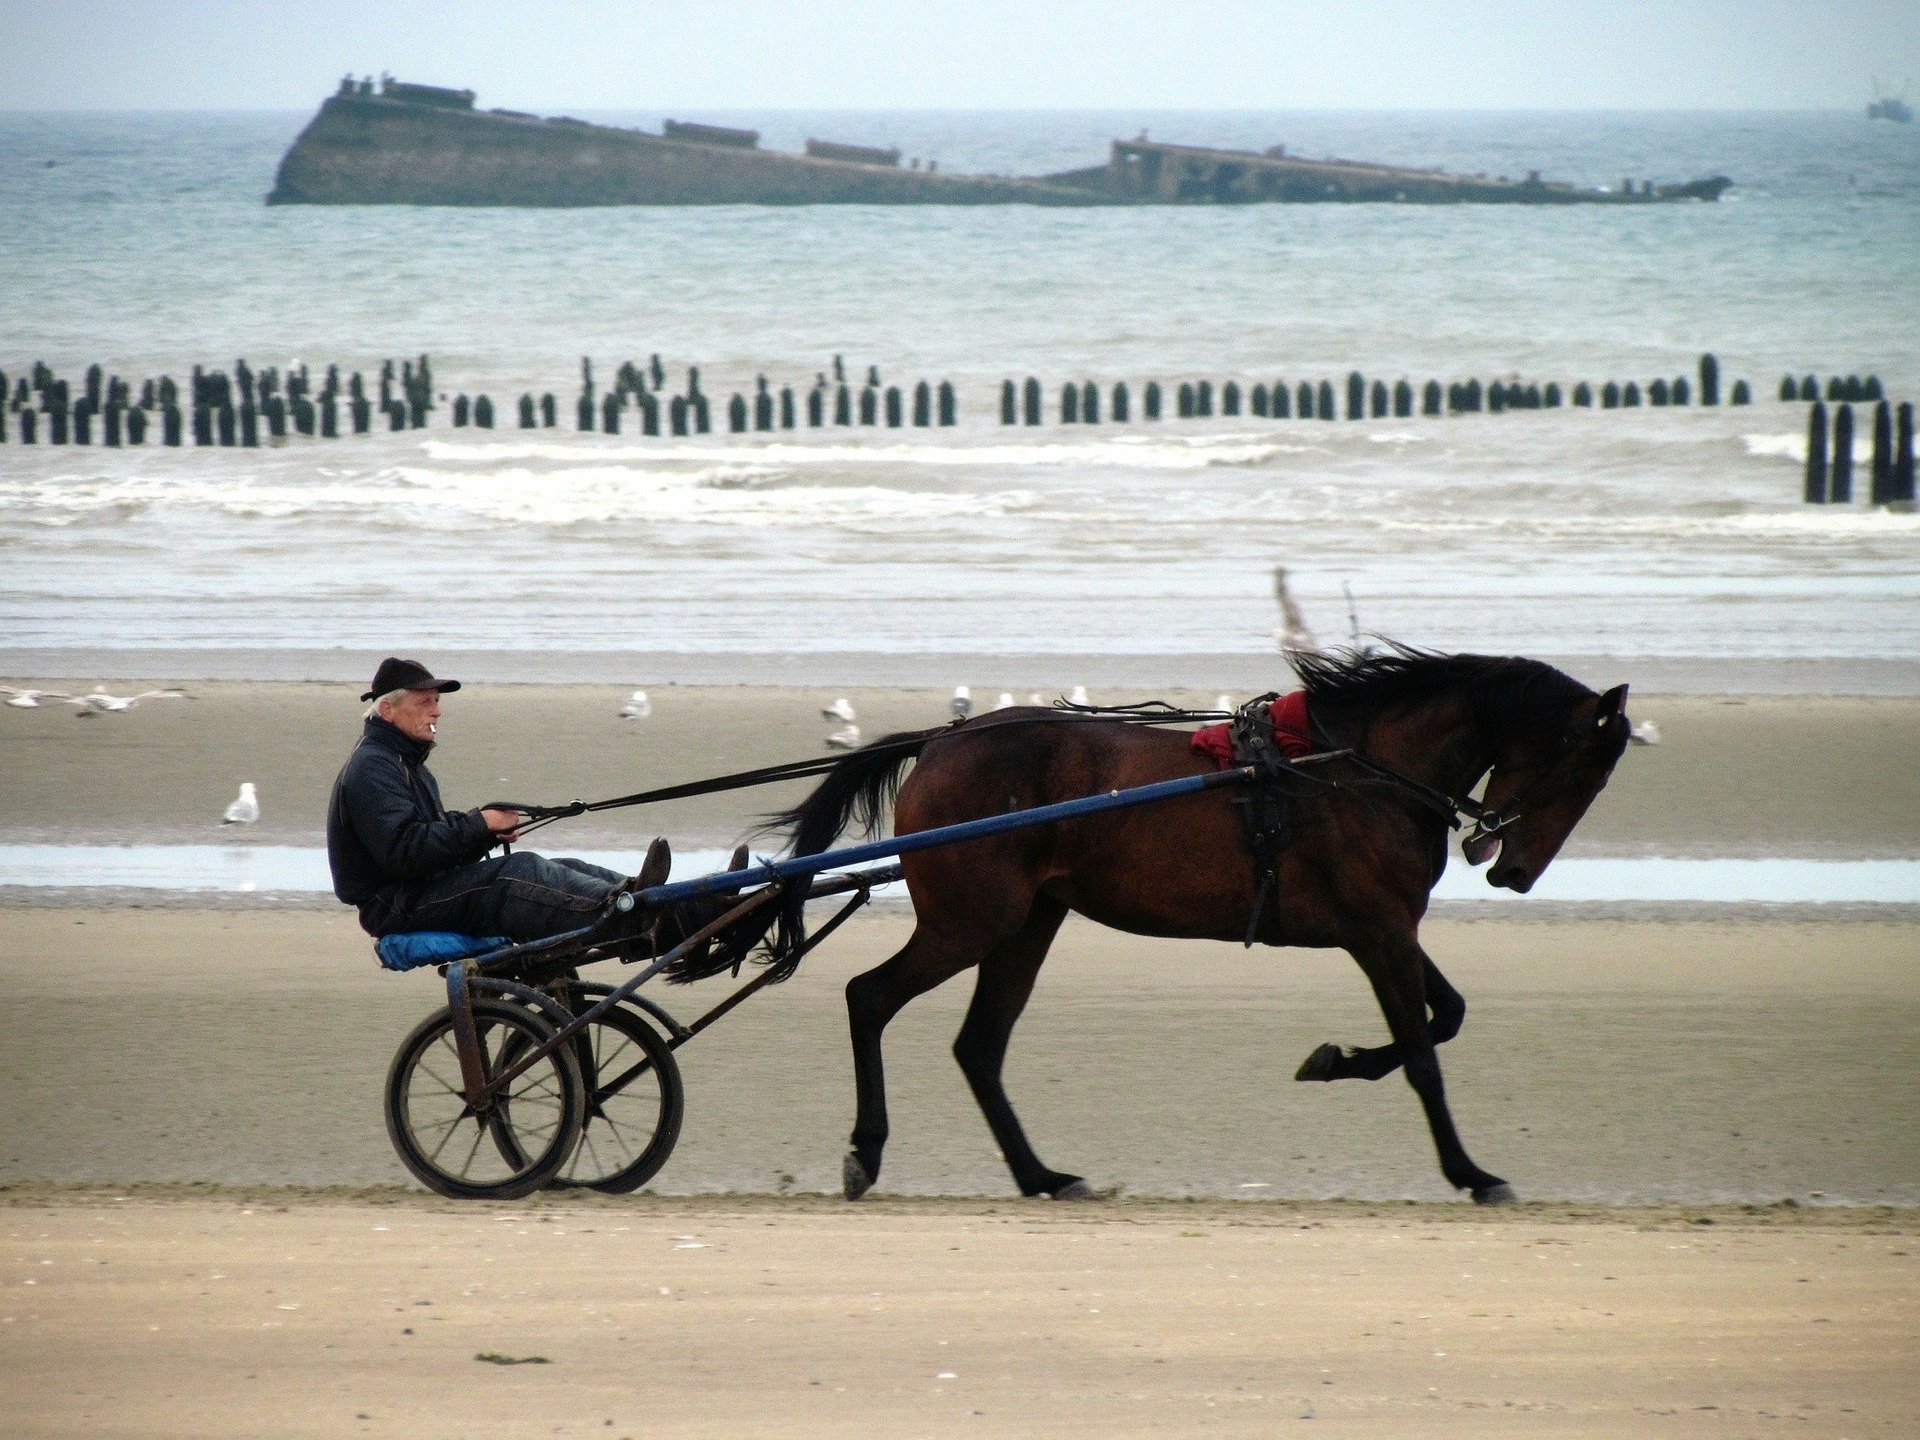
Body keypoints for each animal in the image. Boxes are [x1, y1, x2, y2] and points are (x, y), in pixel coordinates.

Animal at [729, 652, 1620, 1205]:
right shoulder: (1378, 933)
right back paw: (868, 1148)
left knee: (979, 1046)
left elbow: (1446, 1016)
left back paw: (1042, 1176)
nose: (1515, 872)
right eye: (1583, 766)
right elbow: (1427, 1057)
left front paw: (1336, 1060)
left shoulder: (1388, 930)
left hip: (1028, 922)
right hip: (971, 921)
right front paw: (1471, 1172)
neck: (1349, 771)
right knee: (869, 997)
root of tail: (943, 741)